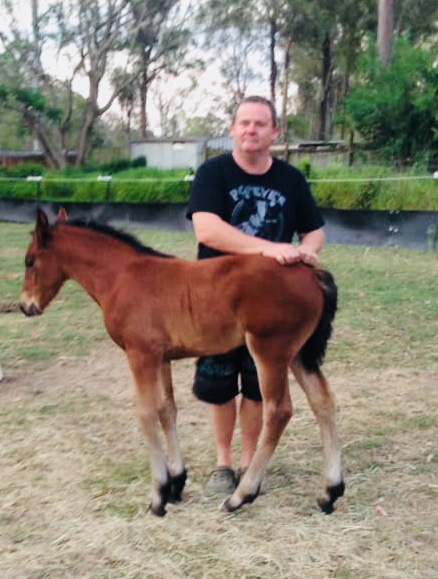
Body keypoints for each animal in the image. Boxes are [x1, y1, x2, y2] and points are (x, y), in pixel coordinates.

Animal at [20, 211, 344, 520]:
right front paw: (176, 483)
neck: (121, 276)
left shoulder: (140, 354)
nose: (25, 306)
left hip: (270, 350)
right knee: (323, 402)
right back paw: (330, 492)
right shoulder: (161, 357)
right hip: (298, 354)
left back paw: (240, 497)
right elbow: (167, 409)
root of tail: (311, 273)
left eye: (30, 260)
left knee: (279, 410)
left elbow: (146, 413)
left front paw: (158, 496)